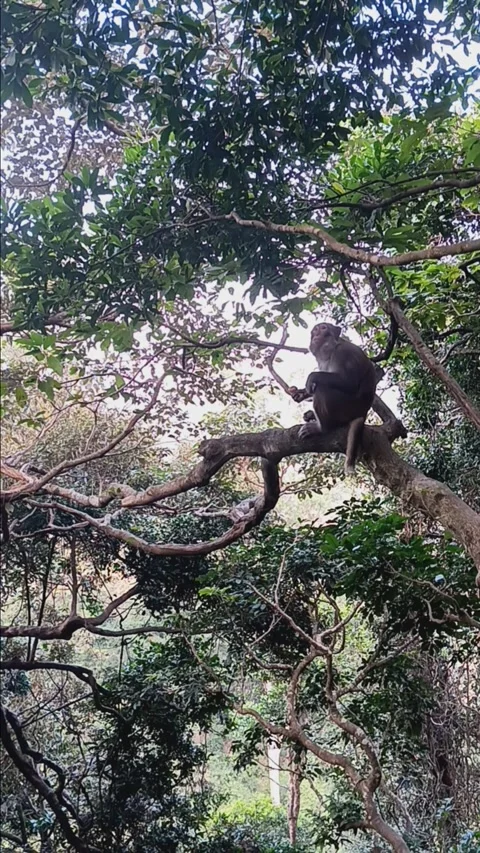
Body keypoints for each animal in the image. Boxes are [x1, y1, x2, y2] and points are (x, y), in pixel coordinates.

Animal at [288, 323, 377, 475]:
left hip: (346, 407)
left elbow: (349, 382)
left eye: (323, 328)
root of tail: (362, 412)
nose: (317, 334)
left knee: (322, 388)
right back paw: (312, 415)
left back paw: (321, 428)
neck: (329, 352)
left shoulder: (342, 353)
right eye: (315, 330)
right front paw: (301, 393)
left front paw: (311, 377)